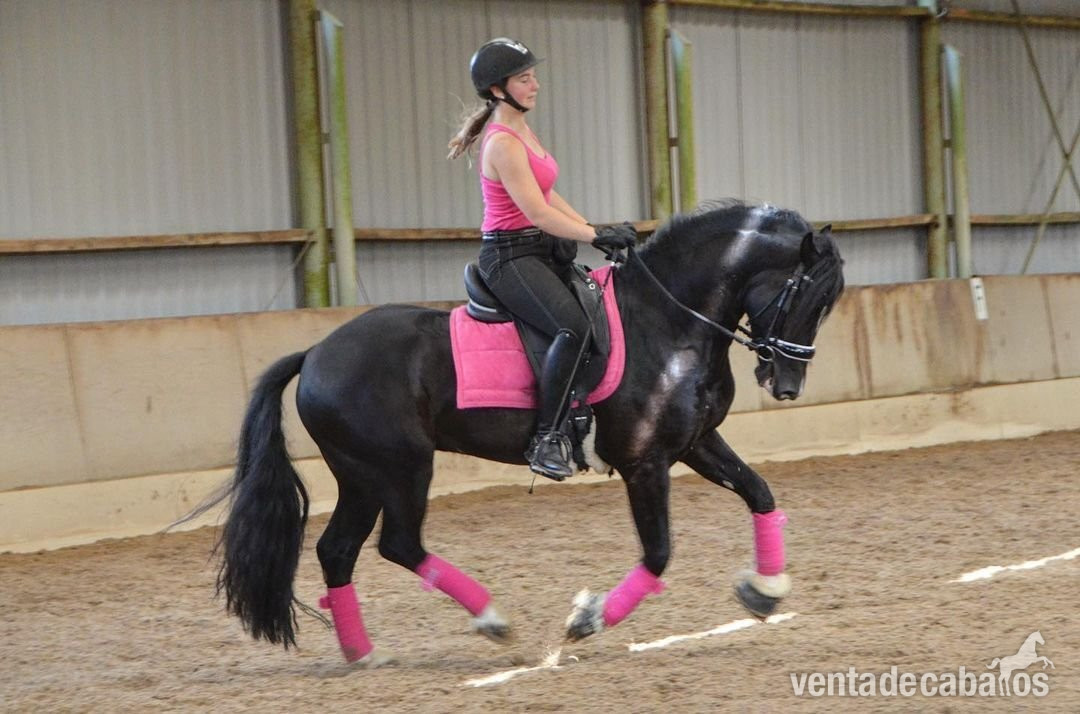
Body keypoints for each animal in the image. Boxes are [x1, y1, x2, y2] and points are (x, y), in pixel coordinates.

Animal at [210, 200, 845, 667]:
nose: (786, 382)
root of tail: (316, 352)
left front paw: (765, 591)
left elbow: (760, 492)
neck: (670, 322)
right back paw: (491, 620)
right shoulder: (644, 462)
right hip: (399, 468)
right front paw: (586, 621)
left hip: (362, 476)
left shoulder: (694, 444)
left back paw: (362, 653)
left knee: (338, 550)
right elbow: (660, 552)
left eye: (826, 303)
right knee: (398, 545)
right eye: (806, 295)